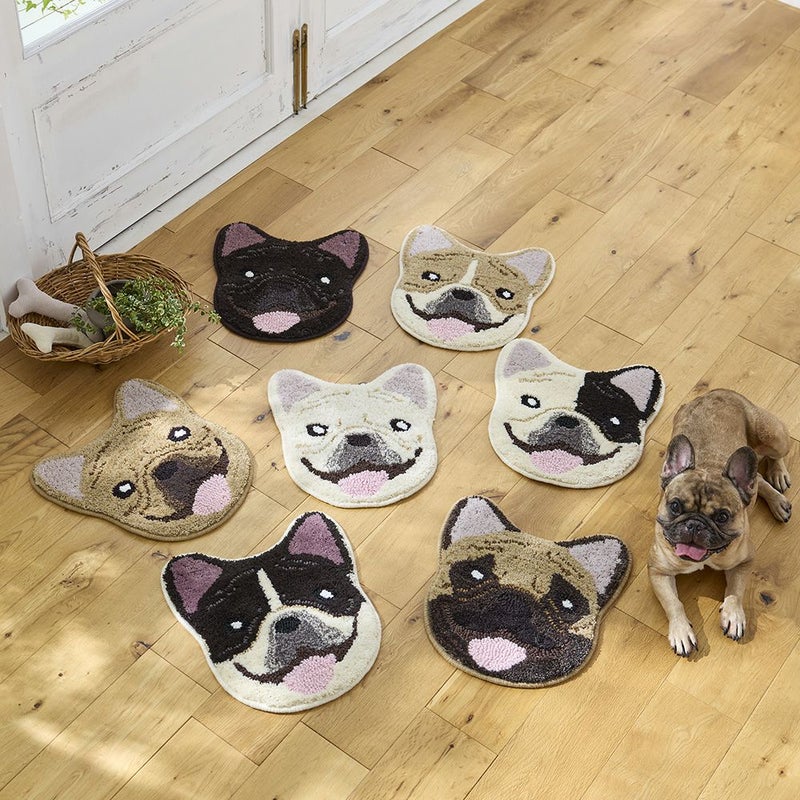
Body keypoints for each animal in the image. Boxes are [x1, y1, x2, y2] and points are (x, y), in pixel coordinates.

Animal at [649, 389, 793, 657]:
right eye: (675, 506)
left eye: (722, 517)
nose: (695, 524)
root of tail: (716, 392)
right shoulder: (658, 571)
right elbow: (673, 603)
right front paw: (681, 631)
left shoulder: (745, 561)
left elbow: (736, 590)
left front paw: (734, 615)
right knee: (757, 477)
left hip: (775, 436)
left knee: (772, 461)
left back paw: (778, 479)